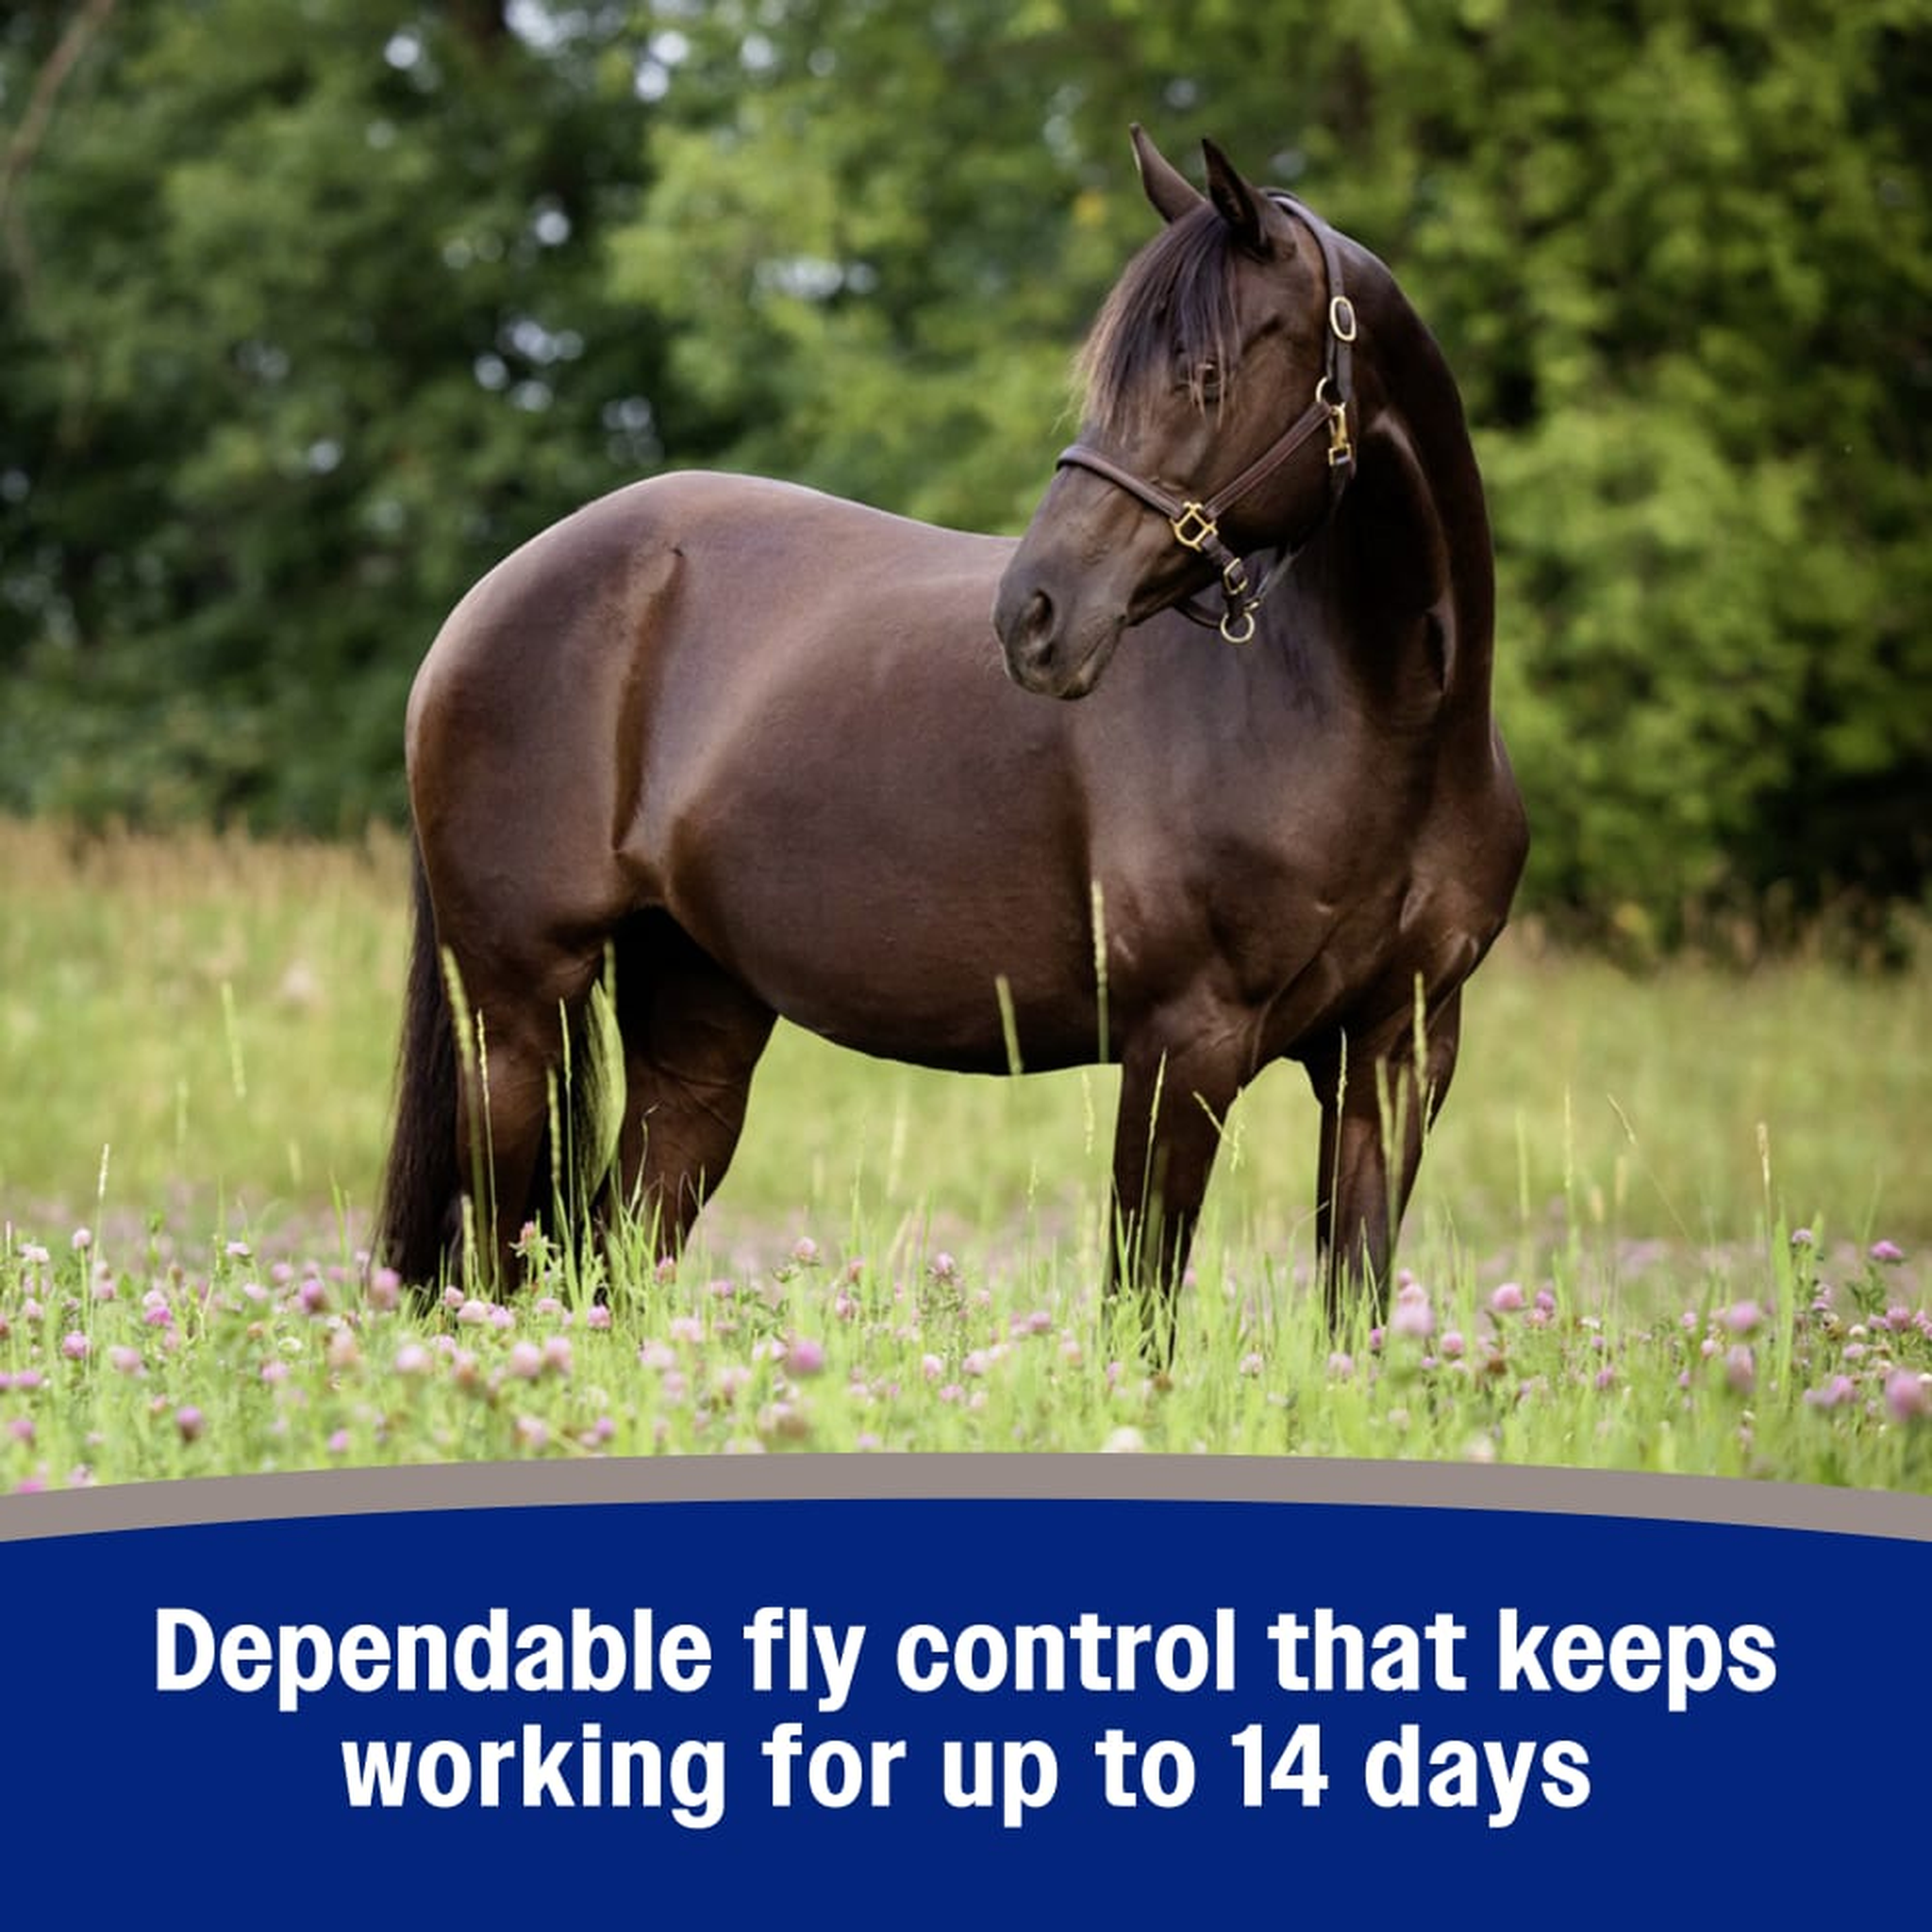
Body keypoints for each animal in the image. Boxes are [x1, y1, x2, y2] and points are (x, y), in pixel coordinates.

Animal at [376, 127, 1527, 1343]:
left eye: (1207, 376)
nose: (1035, 614)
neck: (1381, 719)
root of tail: (490, 598)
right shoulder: (1185, 1042)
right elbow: (1139, 1310)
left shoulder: (1396, 1053)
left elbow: (1355, 1301)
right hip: (514, 1012)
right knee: (493, 1257)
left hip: (696, 1020)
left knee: (621, 1248)